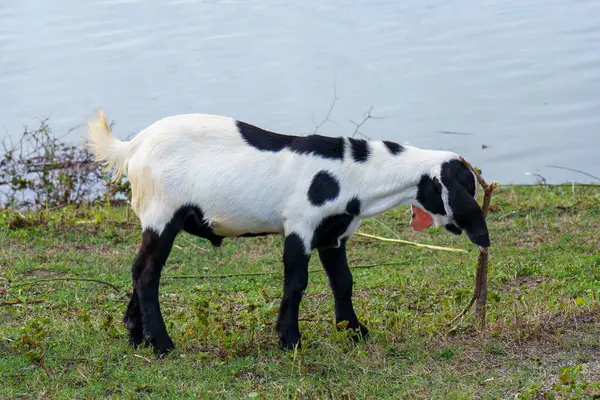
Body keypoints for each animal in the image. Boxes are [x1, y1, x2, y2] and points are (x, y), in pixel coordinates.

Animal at [85, 108, 488, 354]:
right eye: (467, 186)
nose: (475, 235)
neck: (358, 174)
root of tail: (133, 146)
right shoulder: (301, 224)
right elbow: (296, 282)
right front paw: (290, 339)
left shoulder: (333, 234)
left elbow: (343, 282)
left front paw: (354, 331)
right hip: (163, 213)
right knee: (148, 273)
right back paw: (162, 344)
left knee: (139, 270)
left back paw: (136, 336)